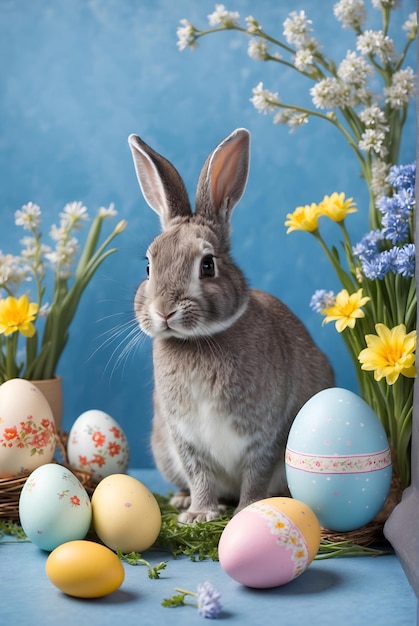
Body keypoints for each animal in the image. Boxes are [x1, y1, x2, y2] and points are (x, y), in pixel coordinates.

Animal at [128, 128, 334, 520]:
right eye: (148, 266)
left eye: (207, 265)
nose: (164, 311)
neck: (198, 340)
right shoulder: (186, 438)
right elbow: (199, 474)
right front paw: (198, 513)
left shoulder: (266, 433)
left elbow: (257, 472)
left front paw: (248, 510)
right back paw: (181, 500)